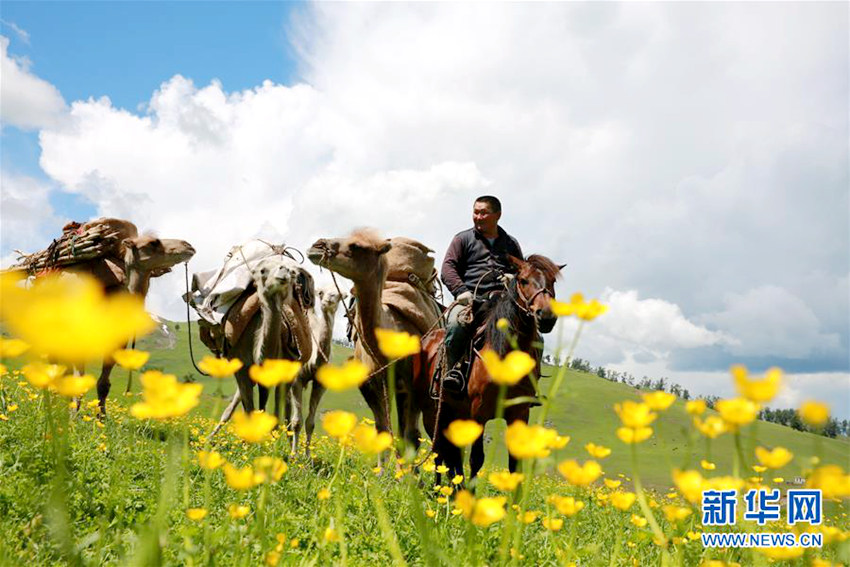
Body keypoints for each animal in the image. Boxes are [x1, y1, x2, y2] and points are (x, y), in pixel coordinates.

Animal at [288, 286, 344, 454]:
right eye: (321, 293)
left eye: (339, 295)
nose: (328, 300)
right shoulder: (297, 380)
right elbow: (297, 421)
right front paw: (293, 455)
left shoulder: (320, 384)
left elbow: (310, 423)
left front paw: (307, 456)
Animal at [306, 229, 430, 450]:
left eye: (356, 246)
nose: (317, 245)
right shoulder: (372, 384)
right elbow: (383, 430)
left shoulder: (414, 384)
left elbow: (411, 436)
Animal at [412, 256, 564, 484]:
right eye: (524, 280)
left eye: (552, 281)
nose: (546, 316)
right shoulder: (479, 411)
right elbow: (476, 459)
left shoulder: (519, 413)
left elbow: (515, 464)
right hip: (433, 411)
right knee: (439, 451)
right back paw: (438, 489)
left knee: (452, 454)